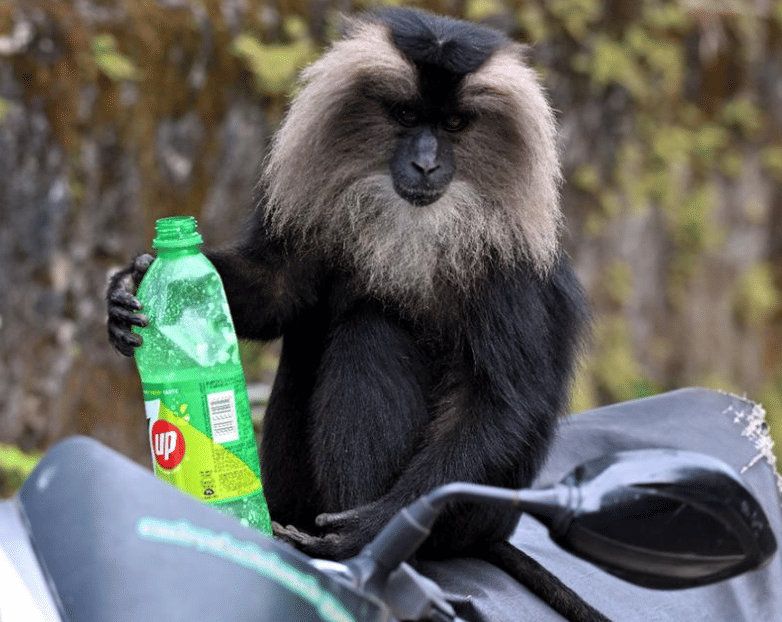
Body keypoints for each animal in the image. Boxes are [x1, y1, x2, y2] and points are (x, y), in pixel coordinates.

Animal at [108, 8, 603, 621]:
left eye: (455, 124)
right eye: (407, 116)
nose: (425, 162)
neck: (419, 222)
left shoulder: (508, 258)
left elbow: (499, 401)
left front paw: (374, 527)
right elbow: (277, 291)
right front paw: (127, 289)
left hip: (472, 520)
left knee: (373, 330)